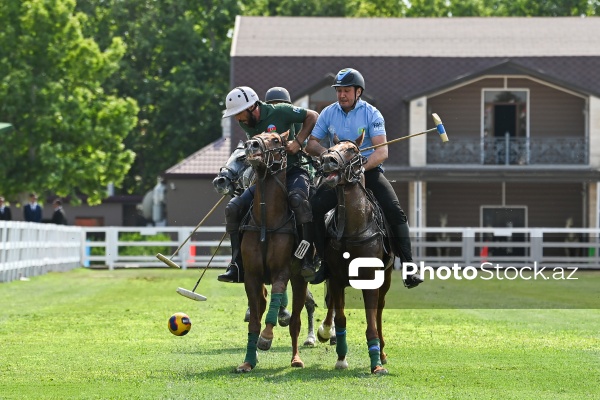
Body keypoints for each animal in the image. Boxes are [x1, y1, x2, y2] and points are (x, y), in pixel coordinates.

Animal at [214, 140, 322, 344]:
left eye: (241, 158)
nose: (219, 181)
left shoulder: (283, 268)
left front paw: (281, 317)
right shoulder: (253, 270)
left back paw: (321, 334)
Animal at [236, 130, 310, 372]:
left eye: (276, 140)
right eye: (255, 135)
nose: (251, 145)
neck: (266, 221)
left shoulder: (281, 272)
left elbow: (274, 308)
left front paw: (266, 338)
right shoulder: (252, 276)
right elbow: (254, 321)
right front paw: (248, 361)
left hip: (299, 279)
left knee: (295, 320)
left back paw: (296, 359)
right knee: (260, 308)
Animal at [316, 135, 392, 376]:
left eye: (351, 149)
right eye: (330, 147)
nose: (328, 160)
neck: (353, 229)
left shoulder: (371, 280)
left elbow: (372, 323)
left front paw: (377, 364)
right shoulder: (336, 278)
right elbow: (340, 318)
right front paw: (341, 358)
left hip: (386, 279)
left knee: (379, 311)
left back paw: (382, 353)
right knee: (331, 303)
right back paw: (325, 330)